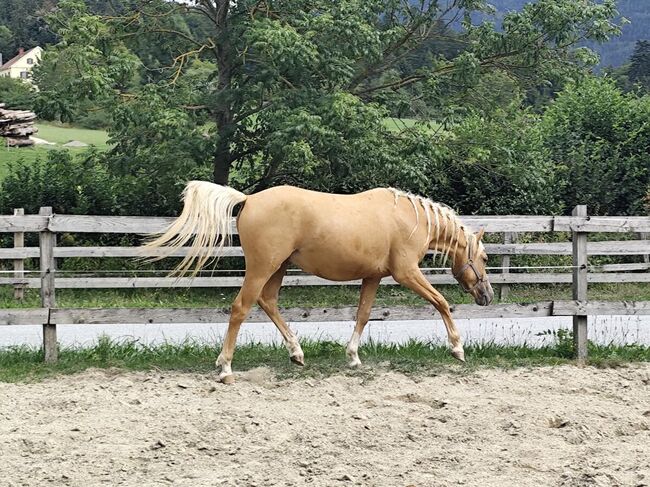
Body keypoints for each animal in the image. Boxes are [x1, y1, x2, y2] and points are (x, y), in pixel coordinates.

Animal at [146, 181, 494, 383]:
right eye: (485, 257)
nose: (487, 296)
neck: (410, 219)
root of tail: (248, 200)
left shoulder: (373, 276)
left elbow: (363, 315)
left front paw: (353, 357)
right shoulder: (406, 273)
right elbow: (441, 302)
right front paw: (458, 348)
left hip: (278, 267)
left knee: (268, 302)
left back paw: (296, 353)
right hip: (262, 266)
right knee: (241, 307)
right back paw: (226, 367)